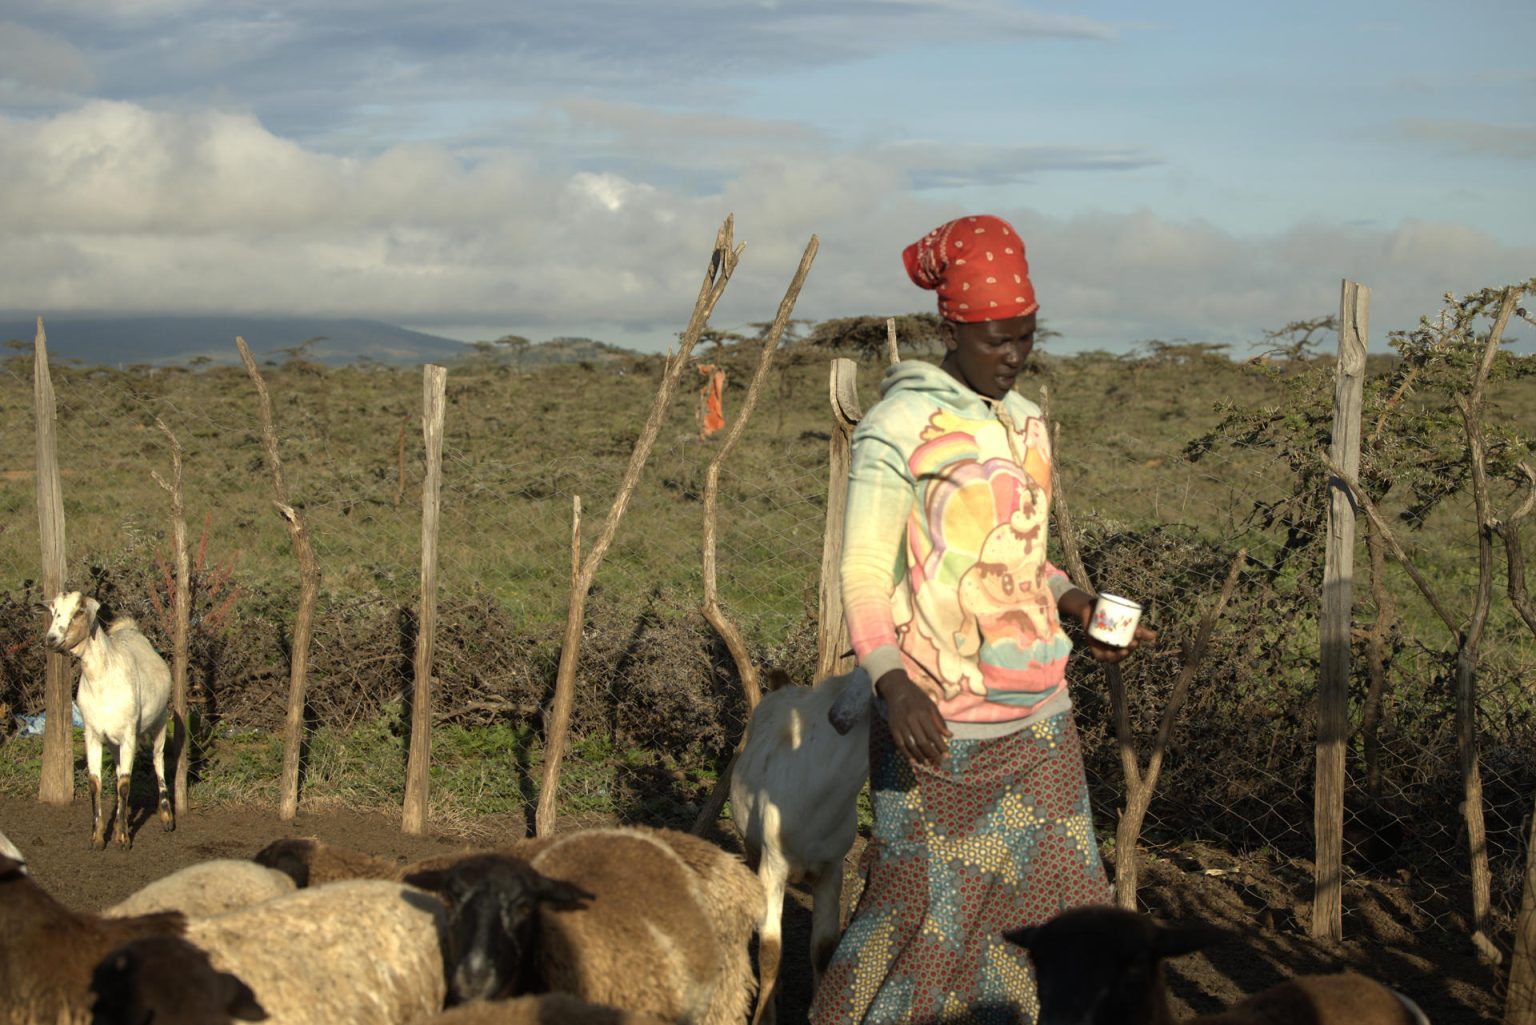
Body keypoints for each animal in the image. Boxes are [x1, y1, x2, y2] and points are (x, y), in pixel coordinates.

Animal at [43, 593, 174, 848]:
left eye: (78, 612)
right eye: (53, 612)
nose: (51, 639)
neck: (103, 680)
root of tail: (131, 631)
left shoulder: (129, 735)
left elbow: (124, 784)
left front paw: (123, 839)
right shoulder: (92, 735)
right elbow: (96, 783)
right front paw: (98, 837)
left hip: (160, 721)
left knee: (158, 760)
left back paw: (166, 817)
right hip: (113, 741)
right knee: (119, 768)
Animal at [728, 666, 872, 1025]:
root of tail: (782, 686)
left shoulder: (832, 870)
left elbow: (823, 948)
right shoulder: (773, 866)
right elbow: (770, 951)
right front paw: (764, 1016)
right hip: (752, 848)